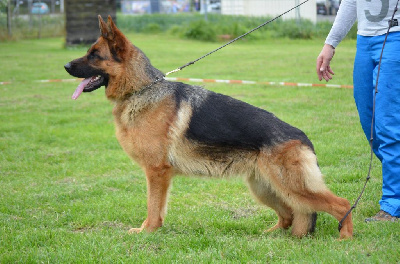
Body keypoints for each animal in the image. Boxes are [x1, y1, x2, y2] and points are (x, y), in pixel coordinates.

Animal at [63, 15, 354, 238]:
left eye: (94, 55)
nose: (65, 65)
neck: (141, 89)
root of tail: (303, 137)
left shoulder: (156, 172)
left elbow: (153, 207)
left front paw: (147, 232)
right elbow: (156, 207)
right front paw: (150, 230)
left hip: (292, 188)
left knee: (341, 204)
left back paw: (345, 239)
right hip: (265, 188)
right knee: (289, 216)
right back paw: (269, 235)